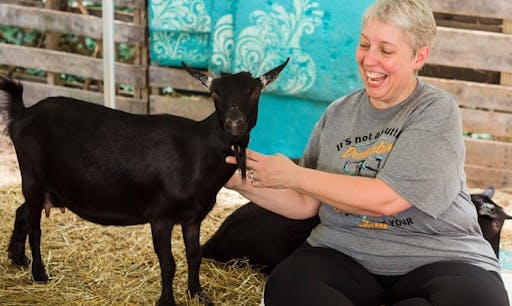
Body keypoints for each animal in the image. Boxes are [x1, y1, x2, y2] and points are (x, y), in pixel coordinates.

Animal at [0, 58, 288, 304]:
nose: (234, 123)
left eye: (254, 91)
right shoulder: (160, 215)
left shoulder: (192, 217)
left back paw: (18, 257)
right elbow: (168, 263)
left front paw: (198, 294)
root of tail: (22, 114)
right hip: (33, 177)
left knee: (22, 211)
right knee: (35, 228)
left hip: (49, 186)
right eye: (215, 93)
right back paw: (39, 274)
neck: (197, 152)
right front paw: (167, 301)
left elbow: (194, 256)